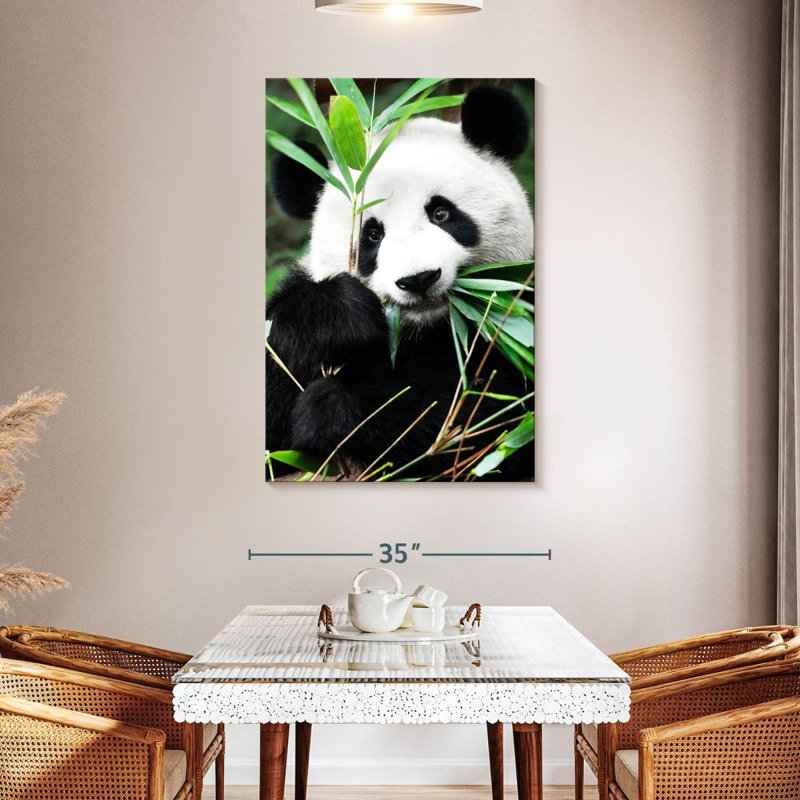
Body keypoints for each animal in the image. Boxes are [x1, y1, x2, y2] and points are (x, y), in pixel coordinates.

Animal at [266, 85, 534, 480]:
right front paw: (338, 315)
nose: (418, 279)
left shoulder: (516, 315)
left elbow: (490, 415)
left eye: (441, 213)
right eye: (372, 235)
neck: (424, 331)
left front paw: (332, 409)